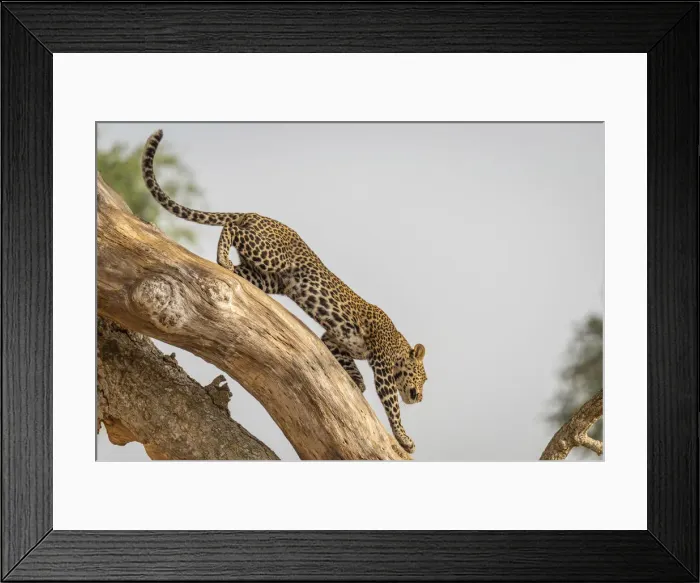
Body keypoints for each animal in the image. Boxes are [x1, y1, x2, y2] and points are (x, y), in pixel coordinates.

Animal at [141, 129, 427, 453]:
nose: (420, 397)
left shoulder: (334, 338)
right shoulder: (382, 365)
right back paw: (223, 255)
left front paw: (357, 382)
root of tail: (257, 214)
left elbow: (346, 361)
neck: (398, 345)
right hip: (270, 254)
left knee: (240, 260)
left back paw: (226, 264)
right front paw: (404, 438)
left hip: (268, 277)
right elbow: (392, 405)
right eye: (423, 378)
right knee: (231, 226)